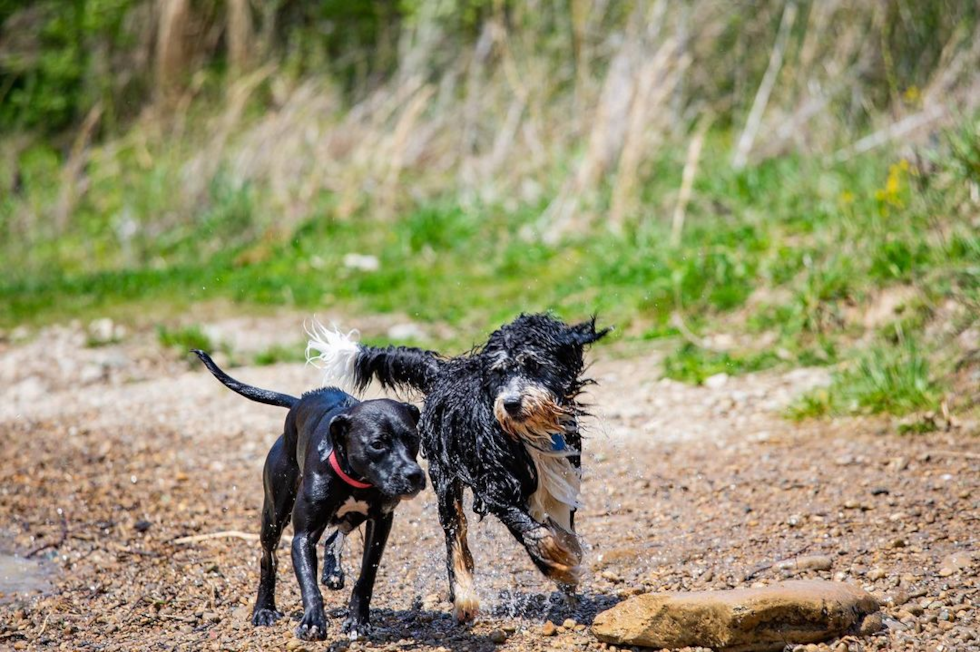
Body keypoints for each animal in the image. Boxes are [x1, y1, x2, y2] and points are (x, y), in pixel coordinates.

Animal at [192, 348, 424, 640]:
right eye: (378, 444)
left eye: (413, 439)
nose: (414, 475)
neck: (353, 478)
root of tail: (297, 404)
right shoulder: (303, 536)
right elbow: (308, 583)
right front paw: (313, 620)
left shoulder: (380, 523)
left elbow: (366, 576)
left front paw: (358, 620)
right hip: (273, 517)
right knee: (267, 559)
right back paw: (264, 609)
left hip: (349, 517)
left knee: (336, 534)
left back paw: (332, 572)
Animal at [306, 316, 608, 620]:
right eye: (499, 372)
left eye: (533, 364)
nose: (510, 404)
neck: (527, 433)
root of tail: (443, 372)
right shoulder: (495, 487)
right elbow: (535, 532)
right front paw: (561, 566)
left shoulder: (562, 480)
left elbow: (562, 534)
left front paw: (567, 572)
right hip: (446, 480)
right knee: (455, 536)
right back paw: (463, 596)